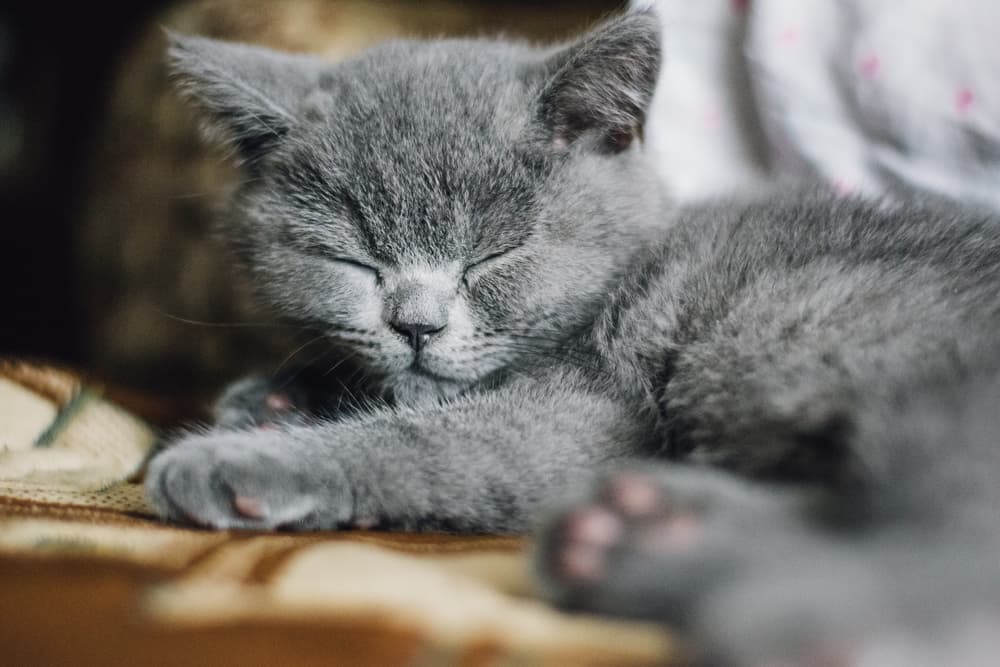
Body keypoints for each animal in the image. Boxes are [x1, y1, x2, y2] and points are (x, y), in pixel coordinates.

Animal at [146, 9, 1000, 664]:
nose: (417, 324)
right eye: (354, 261)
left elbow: (426, 441)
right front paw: (272, 398)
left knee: (947, 538)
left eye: (494, 255)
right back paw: (634, 533)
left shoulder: (596, 403)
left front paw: (237, 457)